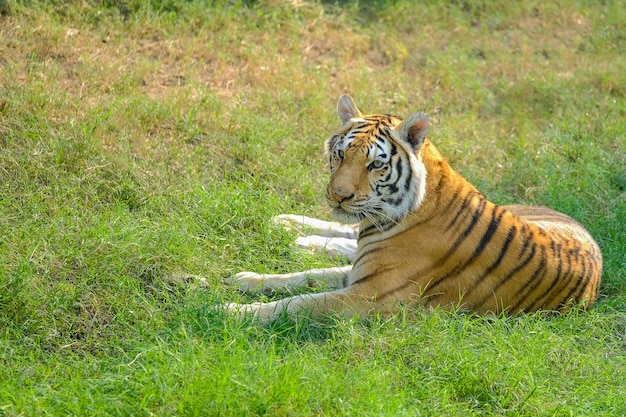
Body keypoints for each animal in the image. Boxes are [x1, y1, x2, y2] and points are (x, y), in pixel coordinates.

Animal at [222, 95, 604, 322]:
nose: (338, 195)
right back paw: (288, 226)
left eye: (375, 165)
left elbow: (300, 300)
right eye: (341, 154)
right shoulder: (363, 276)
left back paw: (300, 239)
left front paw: (231, 310)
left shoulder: (370, 295)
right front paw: (248, 278)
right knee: (346, 233)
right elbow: (304, 277)